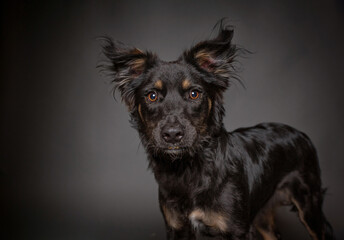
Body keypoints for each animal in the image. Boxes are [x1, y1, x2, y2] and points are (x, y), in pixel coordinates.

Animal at [99, 23, 334, 240]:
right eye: (152, 96)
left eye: (194, 94)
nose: (172, 134)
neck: (188, 169)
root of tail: (298, 132)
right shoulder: (177, 228)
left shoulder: (237, 230)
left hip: (308, 205)